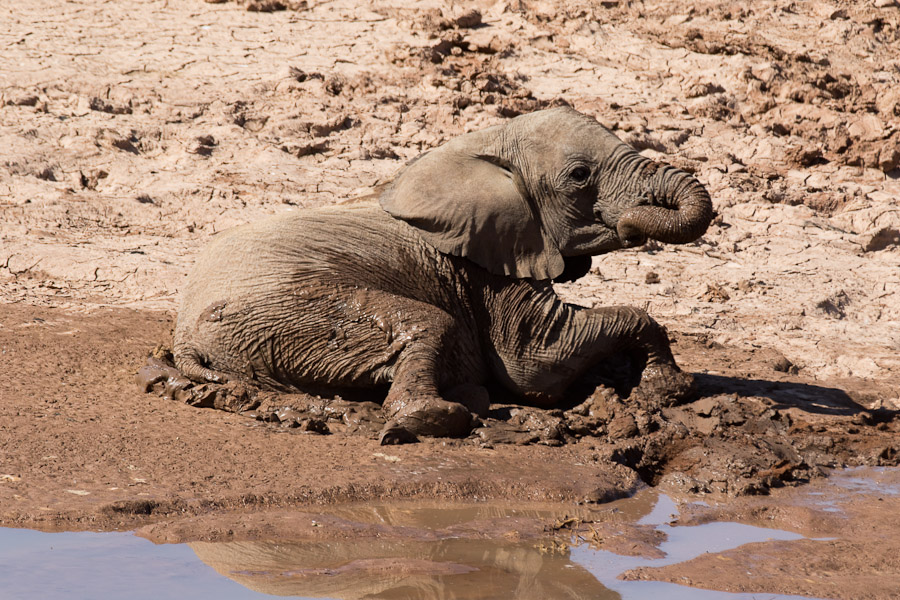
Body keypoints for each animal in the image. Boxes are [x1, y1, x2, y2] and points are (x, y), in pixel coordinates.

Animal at [172, 108, 712, 442]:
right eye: (580, 177)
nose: (631, 223)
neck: (478, 146)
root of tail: (182, 339)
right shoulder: (486, 268)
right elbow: (537, 365)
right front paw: (672, 389)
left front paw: (662, 387)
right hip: (292, 314)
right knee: (429, 324)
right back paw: (446, 414)